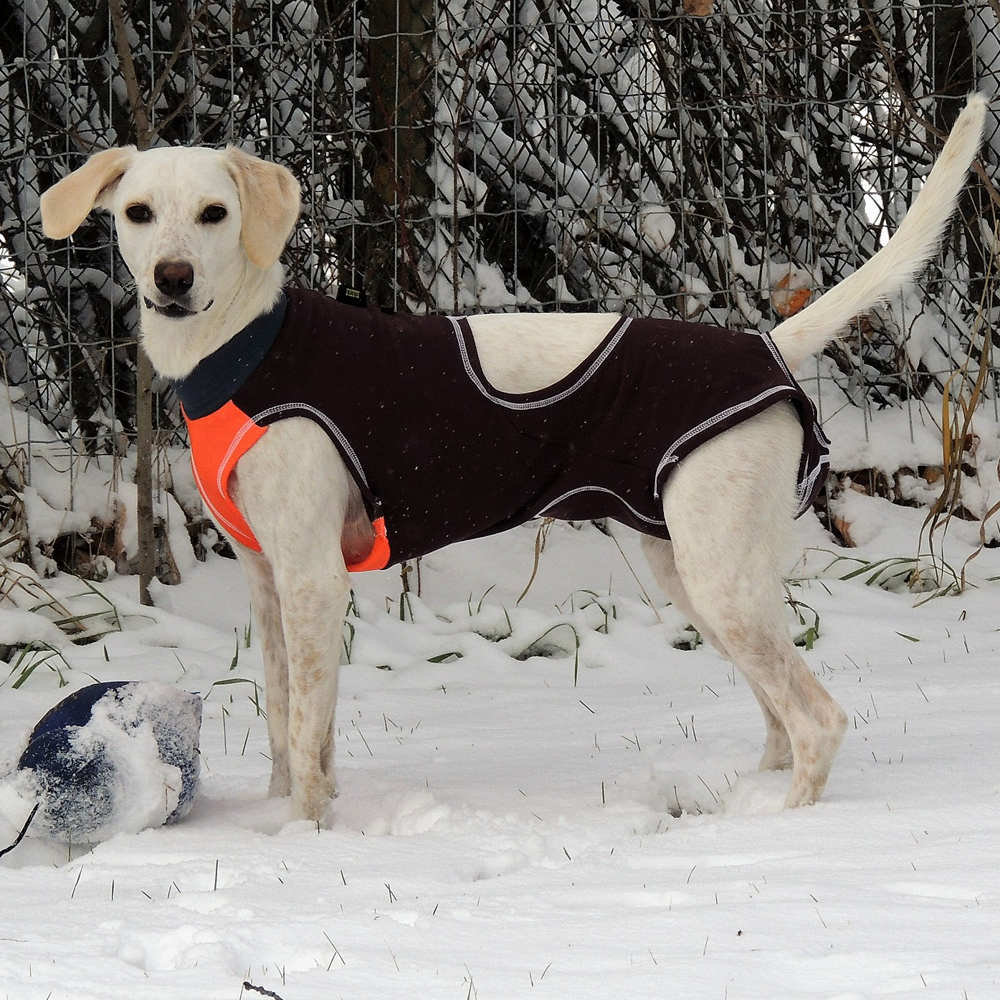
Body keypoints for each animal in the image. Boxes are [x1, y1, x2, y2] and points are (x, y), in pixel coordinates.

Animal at [39, 97, 984, 824]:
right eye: (138, 213)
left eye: (214, 214)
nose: (171, 278)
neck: (245, 350)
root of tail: (769, 346)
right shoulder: (269, 581)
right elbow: (287, 723)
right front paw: (283, 821)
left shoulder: (312, 576)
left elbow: (306, 733)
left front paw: (302, 843)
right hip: (693, 570)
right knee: (781, 718)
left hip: (719, 577)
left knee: (818, 719)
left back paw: (777, 835)